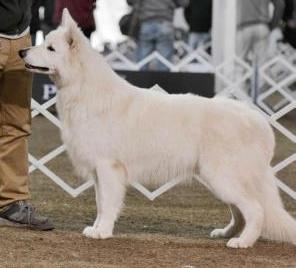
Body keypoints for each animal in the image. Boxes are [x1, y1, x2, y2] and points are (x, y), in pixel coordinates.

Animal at [20, 9, 296, 248]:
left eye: (50, 48)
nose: (22, 51)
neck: (85, 90)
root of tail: (257, 119)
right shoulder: (99, 172)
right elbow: (100, 203)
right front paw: (97, 228)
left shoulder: (108, 168)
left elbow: (107, 204)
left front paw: (103, 232)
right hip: (218, 179)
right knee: (240, 211)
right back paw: (227, 233)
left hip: (222, 177)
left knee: (255, 210)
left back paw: (242, 242)